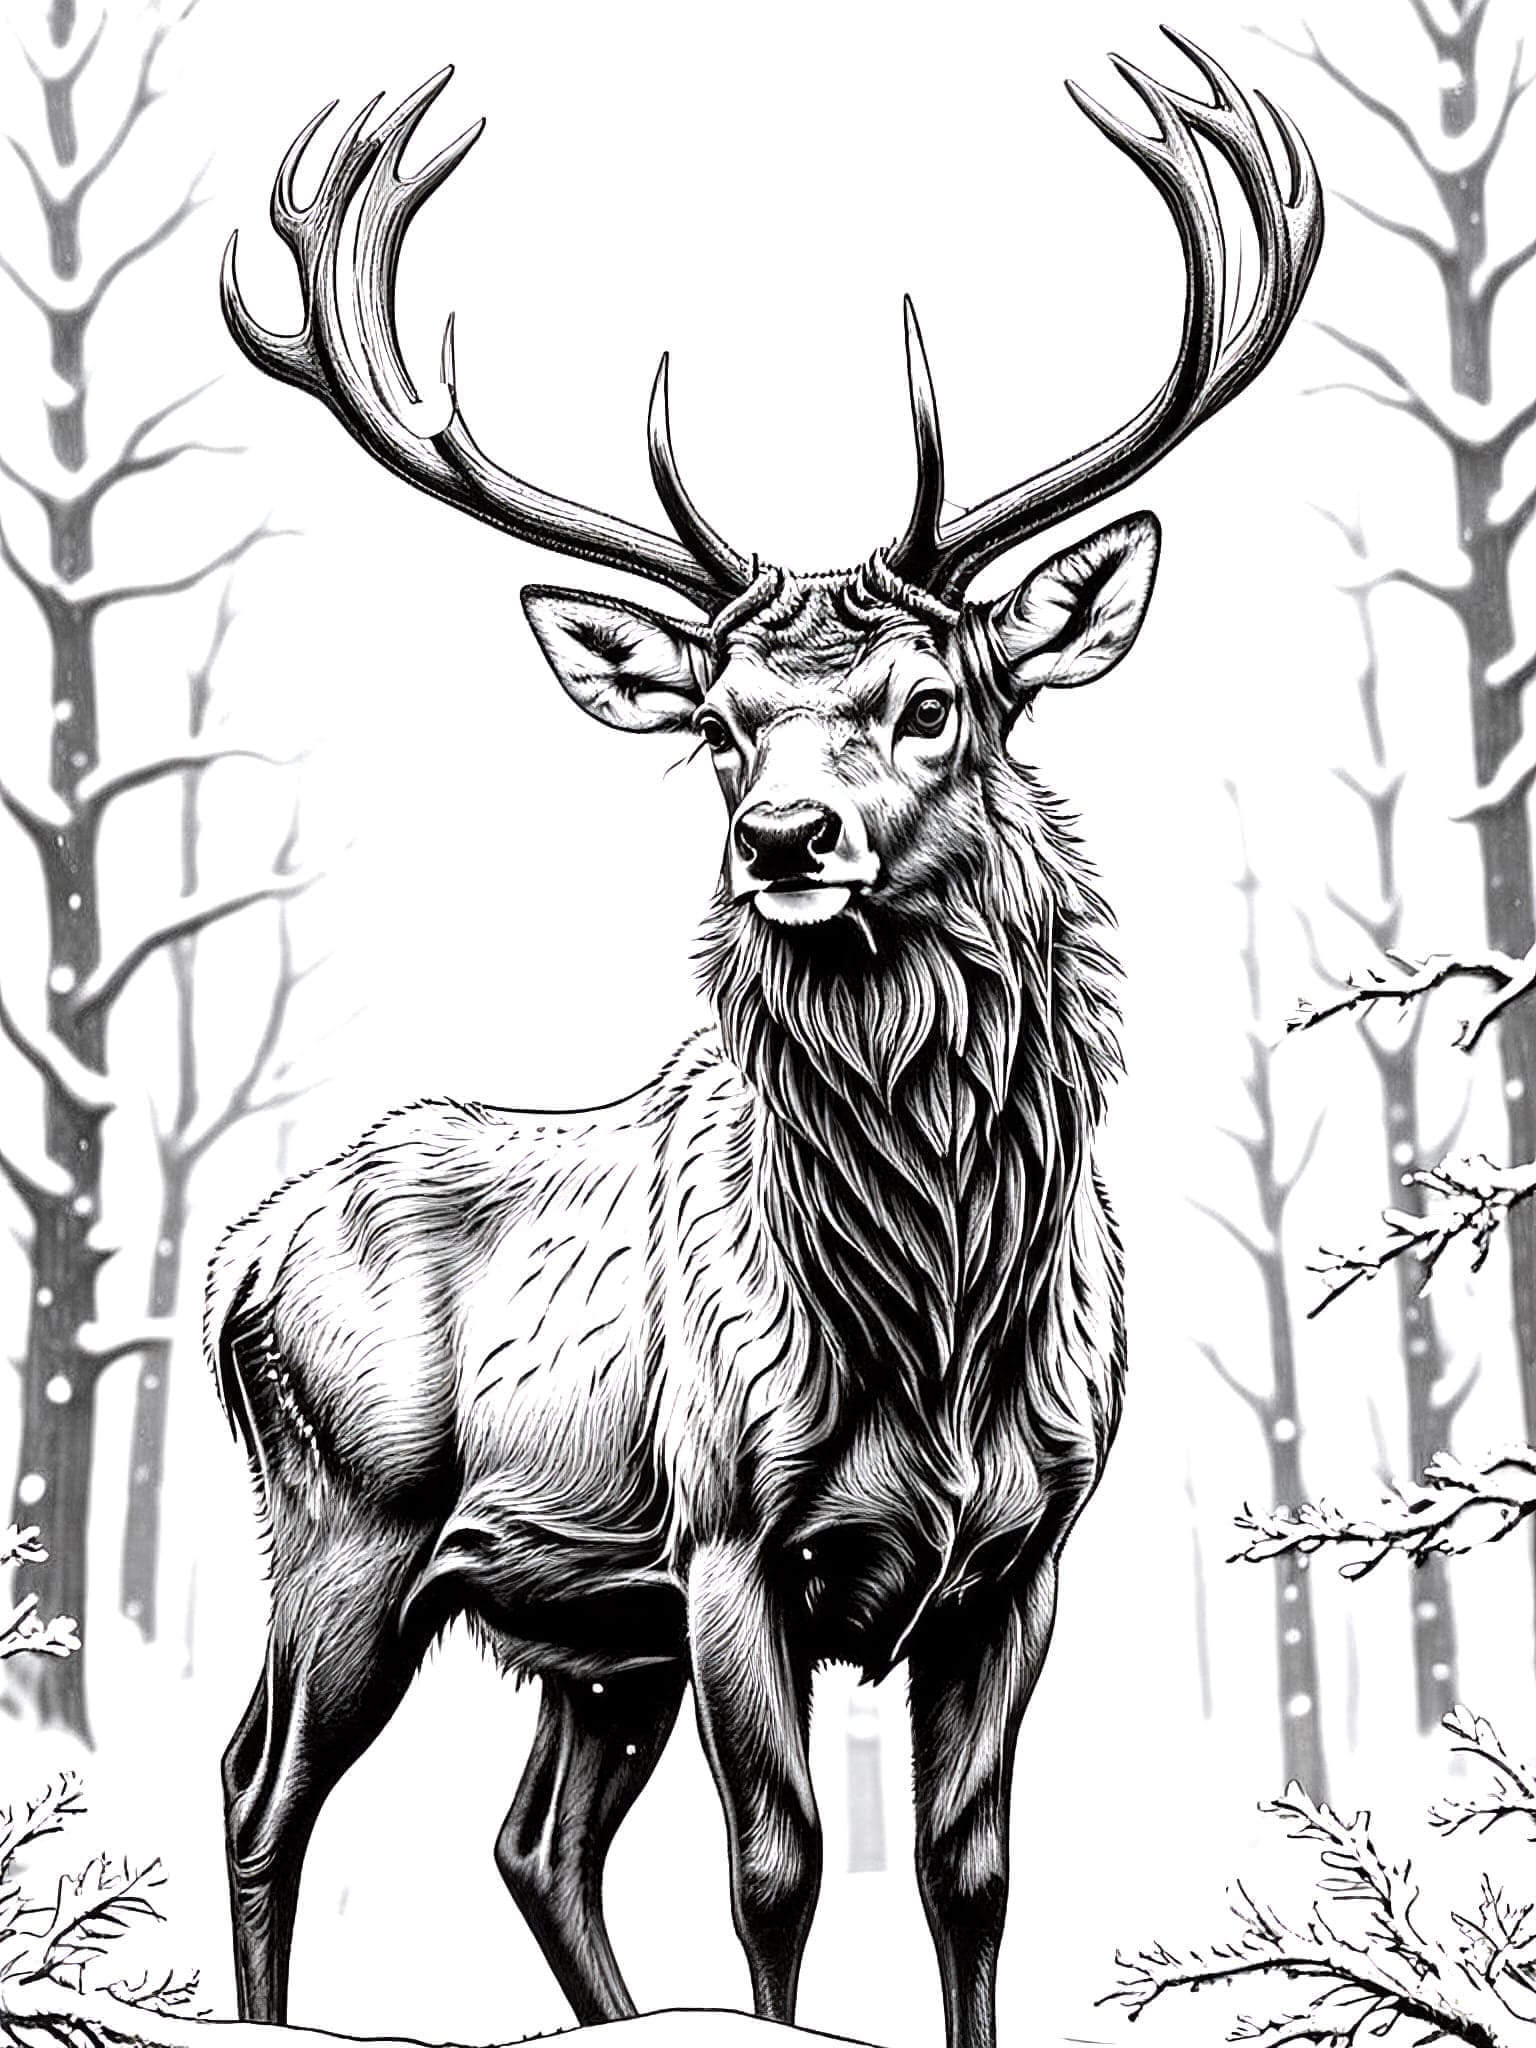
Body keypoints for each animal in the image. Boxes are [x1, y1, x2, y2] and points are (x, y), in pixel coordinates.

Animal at [211, 34, 1319, 2048]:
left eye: (935, 698)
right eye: (721, 723)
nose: (783, 835)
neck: (934, 1328)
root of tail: (232, 1260)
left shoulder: (1025, 1551)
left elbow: (969, 1872)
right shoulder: (729, 1533)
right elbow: (779, 1868)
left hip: (587, 1621)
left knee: (532, 1839)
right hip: (351, 1521)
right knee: (263, 1782)